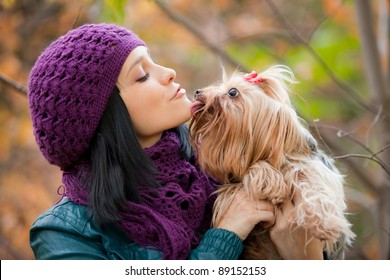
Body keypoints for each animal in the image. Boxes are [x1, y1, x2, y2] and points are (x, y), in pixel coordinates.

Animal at [190, 64, 354, 260]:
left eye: (232, 92)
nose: (198, 91)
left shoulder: (314, 169)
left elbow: (313, 185)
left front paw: (324, 224)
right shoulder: (230, 188)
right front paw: (269, 181)